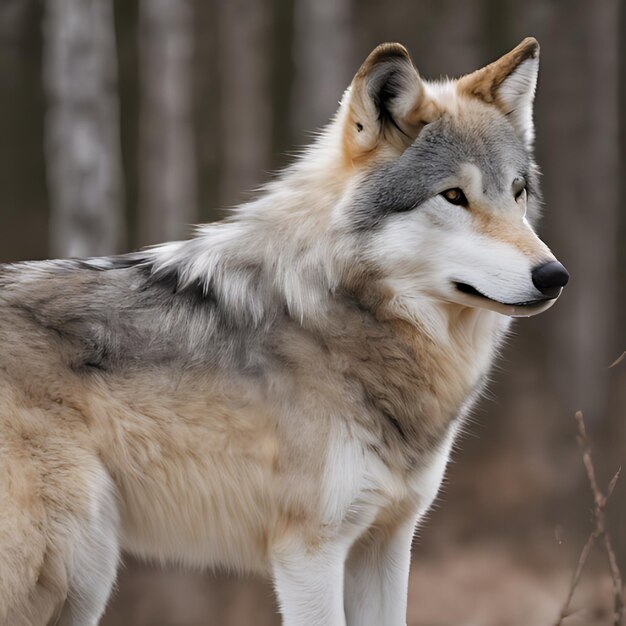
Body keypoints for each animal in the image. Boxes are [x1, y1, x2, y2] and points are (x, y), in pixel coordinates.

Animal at [0, 37, 564, 624]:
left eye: (517, 192)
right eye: (453, 196)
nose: (554, 275)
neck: (336, 318)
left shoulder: (386, 543)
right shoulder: (309, 552)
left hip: (82, 579)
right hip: (67, 566)